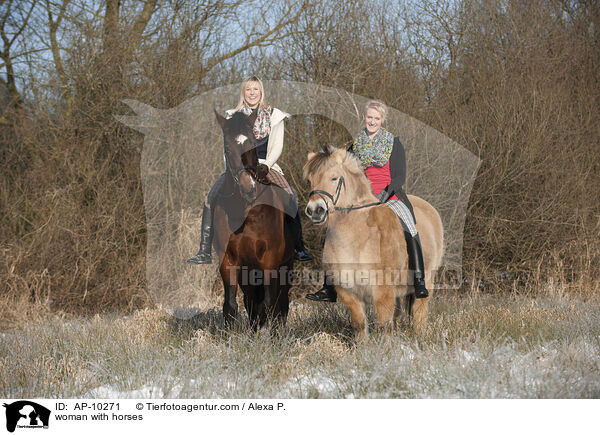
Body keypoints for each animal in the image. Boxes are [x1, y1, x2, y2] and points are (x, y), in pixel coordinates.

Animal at [213, 110, 296, 328]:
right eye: (227, 147)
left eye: (252, 142)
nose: (247, 187)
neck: (246, 210)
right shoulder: (229, 260)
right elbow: (231, 305)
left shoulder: (269, 260)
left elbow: (268, 304)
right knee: (251, 302)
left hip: (285, 267)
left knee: (280, 301)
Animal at [308, 146, 442, 340]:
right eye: (310, 180)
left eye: (334, 178)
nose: (314, 210)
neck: (357, 236)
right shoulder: (348, 291)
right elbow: (359, 324)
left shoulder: (382, 290)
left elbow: (383, 325)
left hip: (428, 279)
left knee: (419, 312)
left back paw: (420, 337)